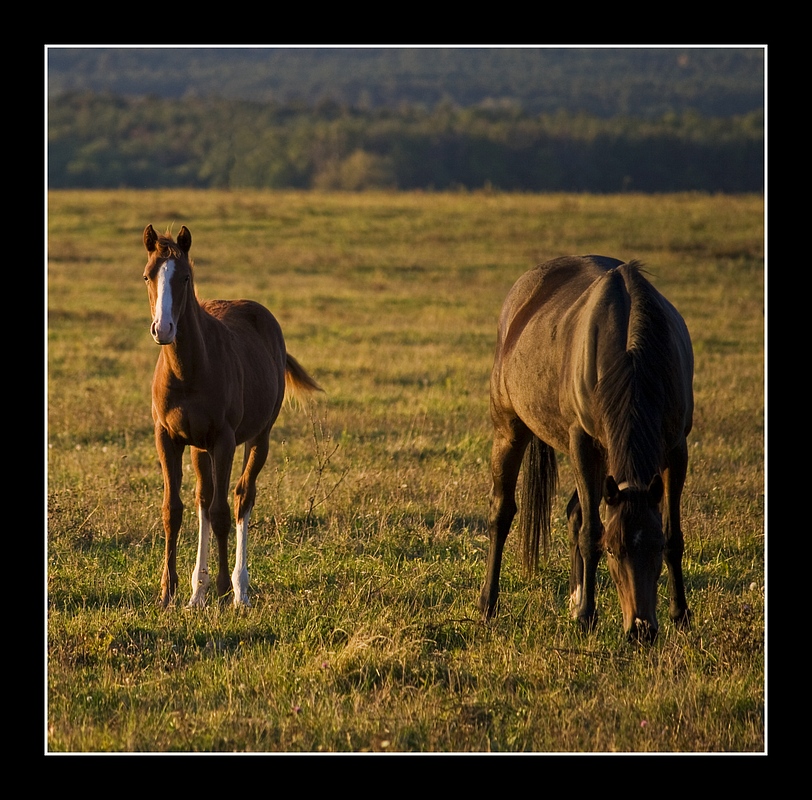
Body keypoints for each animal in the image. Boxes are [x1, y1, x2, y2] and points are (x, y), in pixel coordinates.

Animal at [141, 225, 322, 608]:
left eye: (185, 277)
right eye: (148, 275)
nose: (163, 329)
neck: (189, 371)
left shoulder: (223, 440)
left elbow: (222, 513)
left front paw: (224, 591)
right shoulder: (167, 437)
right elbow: (173, 510)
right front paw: (168, 592)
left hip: (258, 437)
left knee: (241, 496)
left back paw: (241, 589)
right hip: (199, 448)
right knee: (204, 498)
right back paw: (197, 593)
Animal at [478, 256, 696, 644]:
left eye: (654, 547)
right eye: (612, 549)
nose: (641, 629)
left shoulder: (675, 447)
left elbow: (674, 534)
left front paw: (681, 615)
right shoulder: (583, 442)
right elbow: (591, 530)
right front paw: (586, 617)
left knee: (575, 511)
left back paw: (575, 597)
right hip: (509, 428)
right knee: (502, 512)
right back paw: (488, 605)